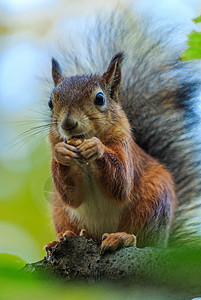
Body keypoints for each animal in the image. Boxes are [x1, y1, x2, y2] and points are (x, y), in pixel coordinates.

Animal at [45, 52, 176, 254]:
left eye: (100, 98)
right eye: (51, 103)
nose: (68, 123)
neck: (84, 161)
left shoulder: (125, 148)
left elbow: (121, 184)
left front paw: (96, 147)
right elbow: (71, 197)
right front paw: (61, 152)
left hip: (153, 203)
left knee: (142, 238)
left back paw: (123, 238)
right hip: (60, 211)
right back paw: (65, 236)